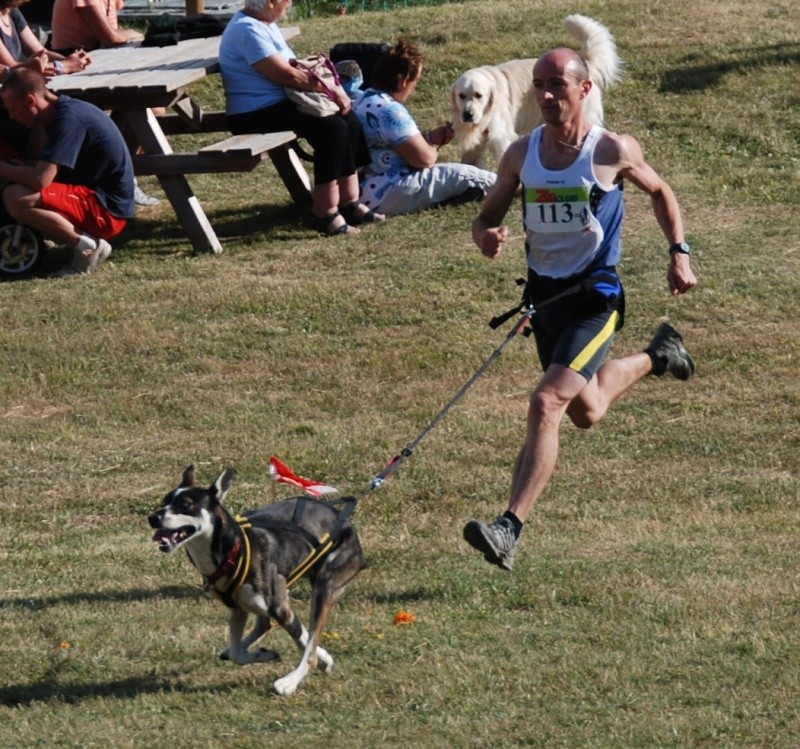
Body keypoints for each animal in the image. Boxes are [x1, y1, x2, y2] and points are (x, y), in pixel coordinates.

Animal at [148, 468, 366, 696]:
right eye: (164, 501)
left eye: (186, 504)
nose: (152, 517)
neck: (234, 550)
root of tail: (342, 518)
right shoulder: (237, 608)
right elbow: (237, 652)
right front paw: (264, 654)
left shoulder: (280, 608)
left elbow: (307, 646)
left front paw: (294, 677)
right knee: (263, 627)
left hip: (325, 586)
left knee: (306, 640)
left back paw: (291, 679)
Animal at [454, 14, 620, 169]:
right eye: (461, 96)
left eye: (479, 95)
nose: (467, 114)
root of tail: (585, 67)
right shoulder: (475, 146)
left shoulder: (501, 137)